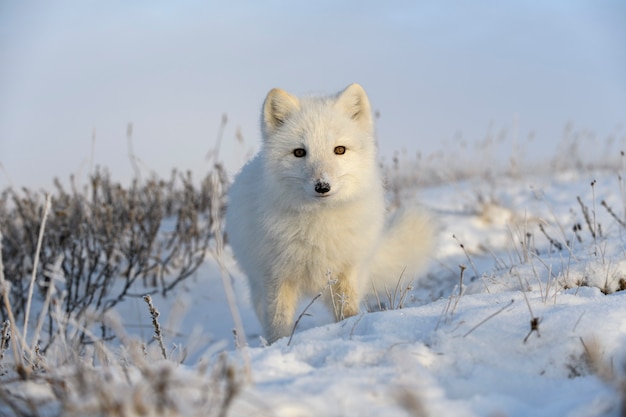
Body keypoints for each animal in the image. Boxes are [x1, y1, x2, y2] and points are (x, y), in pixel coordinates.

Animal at [224, 83, 434, 342]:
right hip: (258, 285)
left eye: (339, 150)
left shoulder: (346, 272)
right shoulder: (277, 277)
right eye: (299, 152)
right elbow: (278, 324)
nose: (322, 186)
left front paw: (349, 330)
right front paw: (280, 345)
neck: (318, 228)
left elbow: (348, 311)